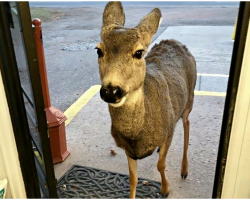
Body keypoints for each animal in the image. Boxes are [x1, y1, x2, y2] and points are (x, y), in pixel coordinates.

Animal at [95, 1, 197, 198]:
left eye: (139, 52)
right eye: (98, 50)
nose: (111, 91)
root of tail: (175, 41)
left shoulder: (168, 131)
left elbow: (161, 164)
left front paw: (165, 189)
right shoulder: (128, 149)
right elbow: (133, 179)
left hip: (189, 99)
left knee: (187, 123)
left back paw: (184, 170)